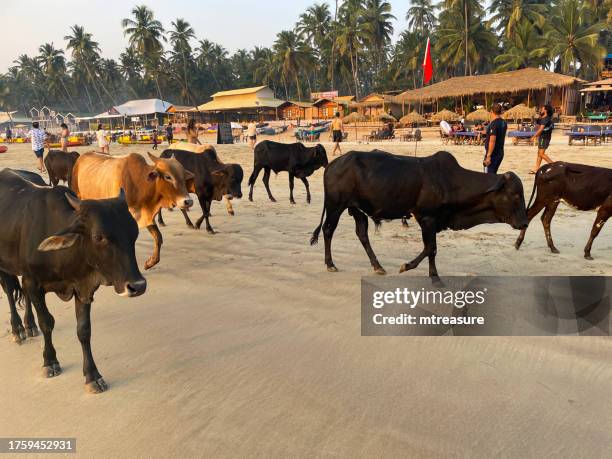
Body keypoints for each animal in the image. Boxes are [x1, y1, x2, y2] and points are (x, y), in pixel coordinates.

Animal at [0, 170, 147, 396]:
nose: (137, 286)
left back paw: (29, 325)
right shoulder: (33, 282)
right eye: (99, 237)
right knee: (9, 291)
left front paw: (92, 376)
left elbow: (84, 330)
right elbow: (47, 322)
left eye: (134, 233)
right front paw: (50, 361)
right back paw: (18, 330)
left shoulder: (83, 289)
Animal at [314, 152, 528, 280]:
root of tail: (332, 164)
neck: (451, 182)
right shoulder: (426, 218)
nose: (525, 222)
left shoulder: (432, 221)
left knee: (362, 234)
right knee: (328, 230)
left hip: (357, 210)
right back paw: (330, 264)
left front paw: (431, 274)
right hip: (335, 206)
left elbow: (431, 249)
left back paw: (377, 266)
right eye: (515, 194)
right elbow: (431, 248)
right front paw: (411, 268)